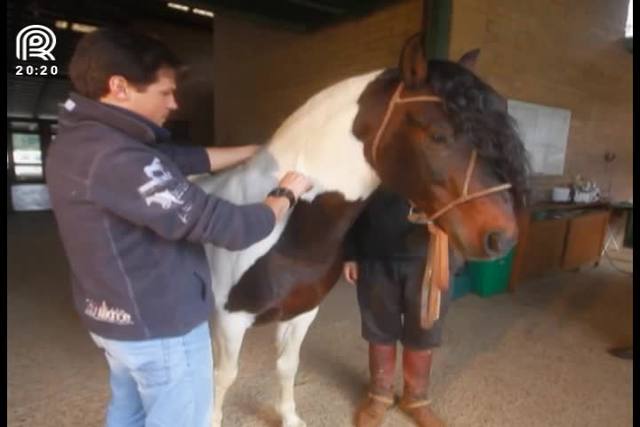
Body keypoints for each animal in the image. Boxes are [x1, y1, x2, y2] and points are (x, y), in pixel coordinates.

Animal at [196, 34, 528, 427]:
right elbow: (223, 377)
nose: (502, 237)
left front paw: (289, 417)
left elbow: (286, 366)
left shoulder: (301, 313)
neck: (287, 231)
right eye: (438, 135)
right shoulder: (230, 320)